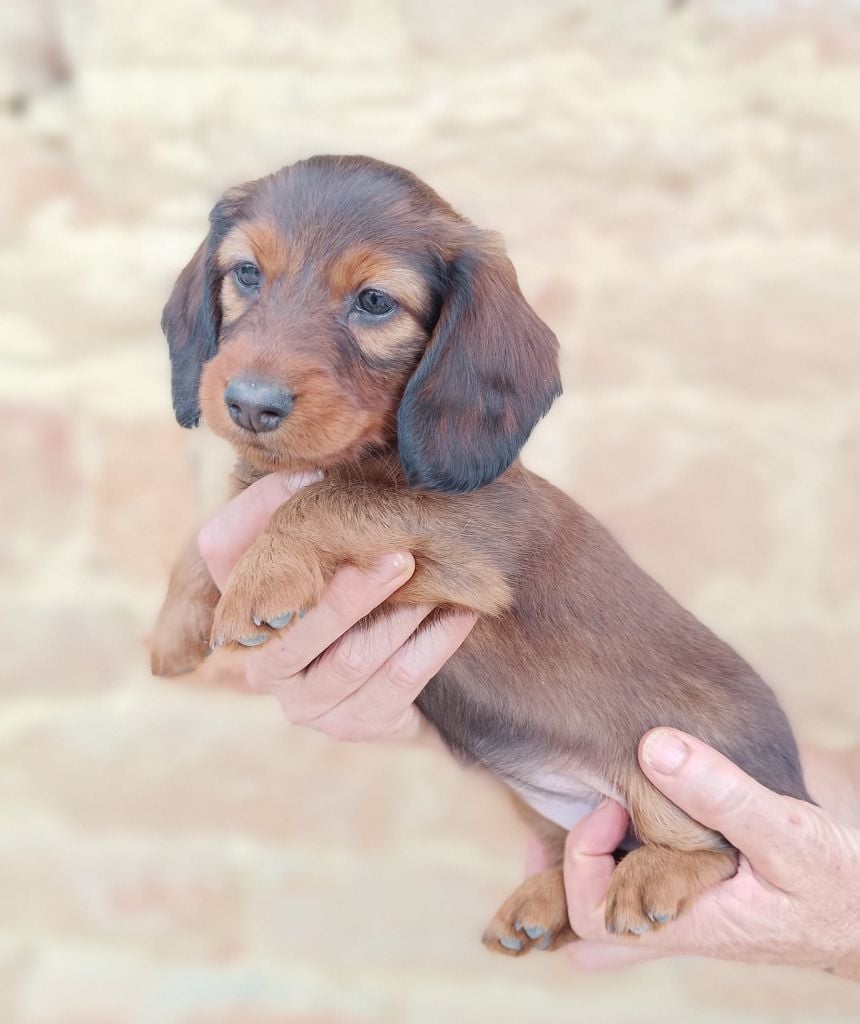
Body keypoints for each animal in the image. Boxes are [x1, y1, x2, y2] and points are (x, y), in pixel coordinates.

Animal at [151, 155, 810, 954]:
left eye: (375, 302)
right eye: (246, 273)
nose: (249, 403)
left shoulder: (467, 550)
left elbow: (325, 501)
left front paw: (256, 584)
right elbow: (219, 523)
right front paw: (175, 625)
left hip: (664, 757)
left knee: (716, 849)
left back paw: (654, 877)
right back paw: (545, 902)